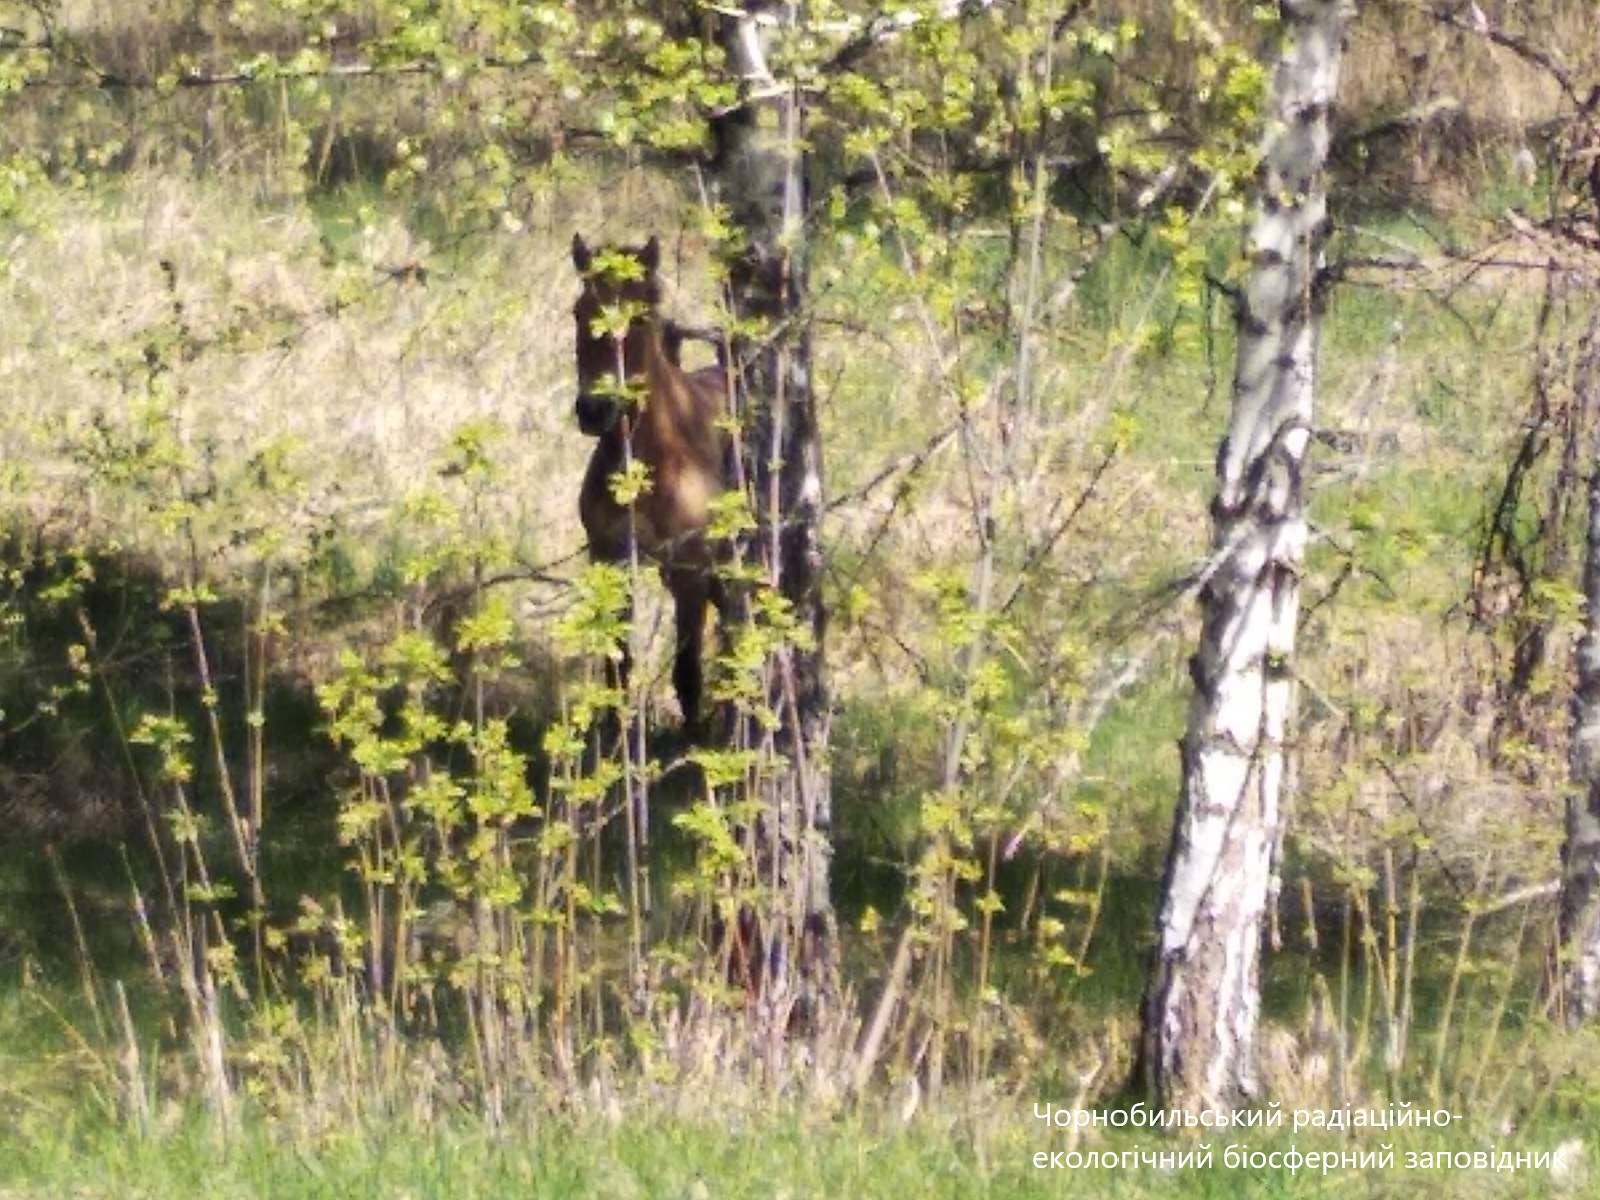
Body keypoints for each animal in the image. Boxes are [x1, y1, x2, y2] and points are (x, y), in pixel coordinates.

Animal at [569, 232, 732, 739]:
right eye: (579, 311)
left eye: (640, 316)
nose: (595, 410)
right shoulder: (611, 559)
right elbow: (617, 664)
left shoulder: (690, 570)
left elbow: (688, 672)